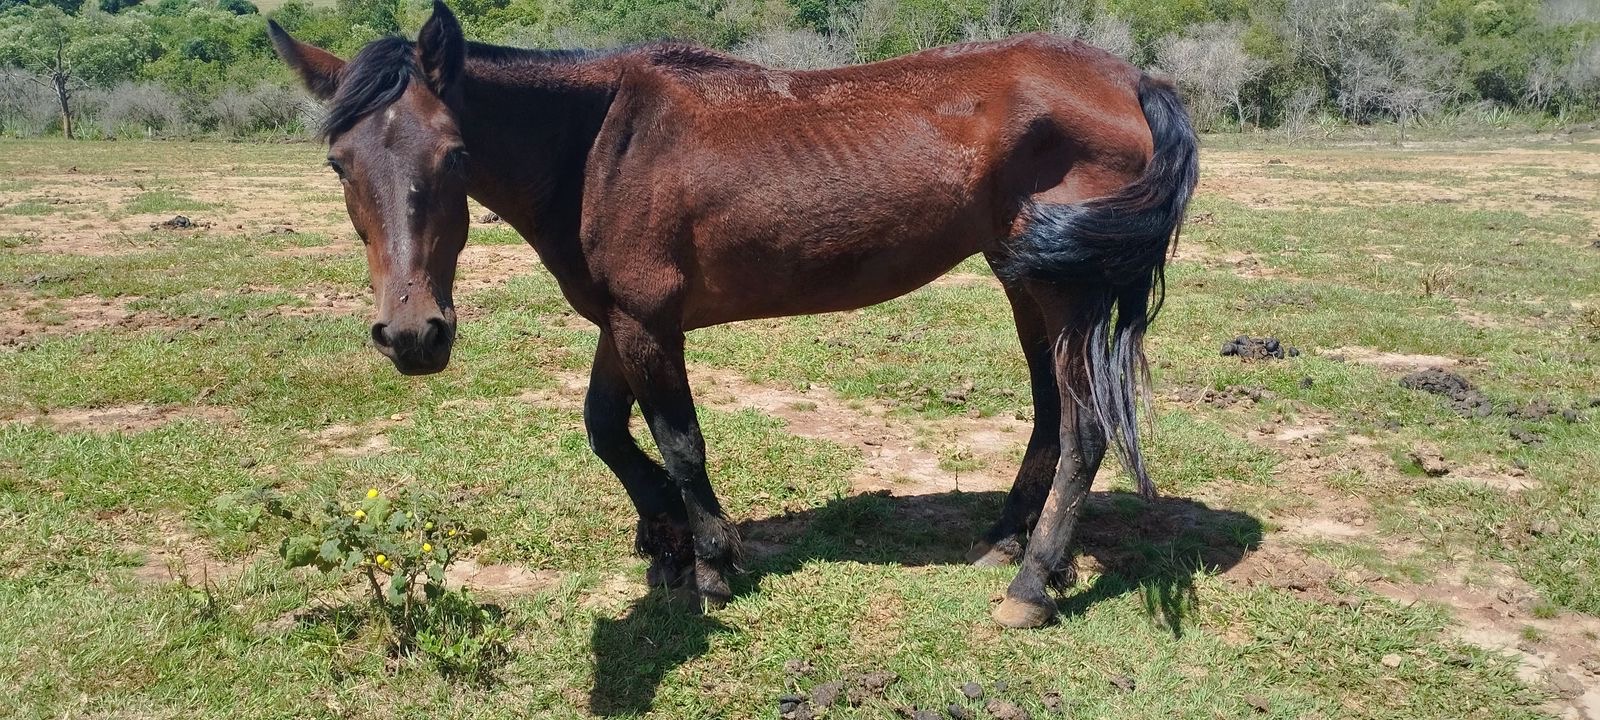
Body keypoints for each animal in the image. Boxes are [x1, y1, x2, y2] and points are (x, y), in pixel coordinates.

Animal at [268, 0, 1196, 627]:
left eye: (455, 154)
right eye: (338, 163)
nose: (413, 335)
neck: (600, 145)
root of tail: (1133, 80)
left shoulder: (648, 321)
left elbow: (678, 440)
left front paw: (711, 559)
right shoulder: (620, 322)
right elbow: (607, 429)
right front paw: (666, 541)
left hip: (1069, 294)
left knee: (1085, 430)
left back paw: (1032, 584)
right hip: (1026, 284)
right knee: (1050, 417)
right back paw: (1010, 540)